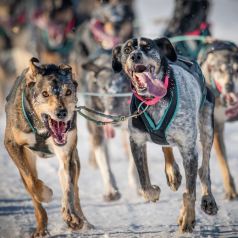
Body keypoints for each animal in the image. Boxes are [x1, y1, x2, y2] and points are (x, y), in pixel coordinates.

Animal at [3, 57, 91, 236]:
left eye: (68, 92)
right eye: (45, 93)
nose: (62, 113)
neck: (42, 129)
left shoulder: (67, 154)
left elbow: (68, 186)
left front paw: (70, 214)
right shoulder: (11, 145)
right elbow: (32, 183)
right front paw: (46, 193)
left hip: (75, 159)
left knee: (75, 188)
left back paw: (82, 220)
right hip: (26, 159)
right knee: (32, 190)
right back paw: (41, 227)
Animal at [112, 37, 218, 232]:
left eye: (147, 46)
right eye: (127, 49)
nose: (135, 55)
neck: (154, 101)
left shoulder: (189, 150)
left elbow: (189, 192)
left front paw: (187, 217)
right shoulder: (136, 141)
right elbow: (144, 183)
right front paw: (153, 192)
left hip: (207, 127)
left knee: (204, 169)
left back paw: (208, 199)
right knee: (166, 146)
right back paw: (172, 172)